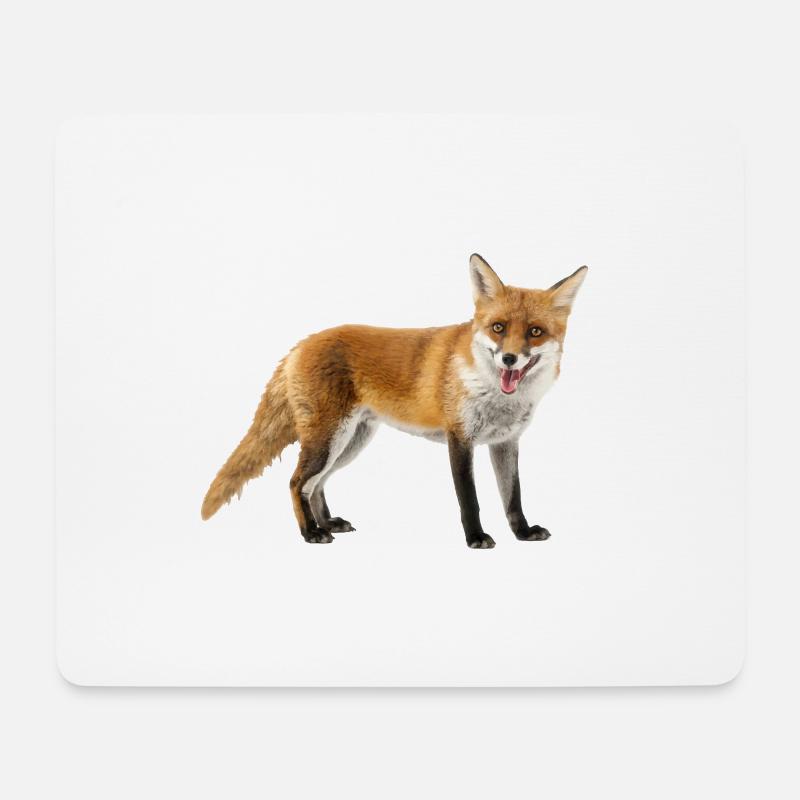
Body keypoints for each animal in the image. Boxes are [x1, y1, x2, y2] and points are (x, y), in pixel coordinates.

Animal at [201, 254, 587, 548]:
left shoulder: (506, 442)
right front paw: (476, 538)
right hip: (328, 440)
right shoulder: (459, 438)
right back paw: (310, 532)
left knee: (316, 485)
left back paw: (327, 523)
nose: (509, 359)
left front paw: (522, 532)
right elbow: (470, 500)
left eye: (535, 332)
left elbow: (513, 497)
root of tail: (301, 343)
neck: (493, 393)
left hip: (349, 442)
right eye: (498, 328)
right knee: (297, 483)